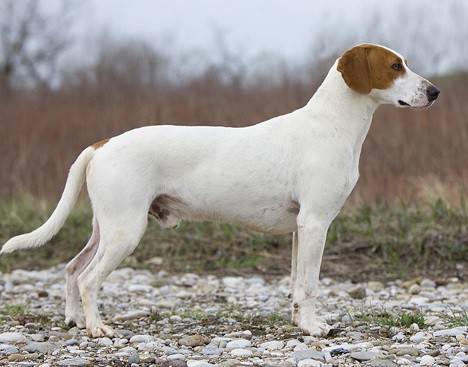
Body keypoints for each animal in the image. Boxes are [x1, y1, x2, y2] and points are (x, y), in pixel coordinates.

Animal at [0, 44, 438, 338]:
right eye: (395, 66)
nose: (434, 92)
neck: (330, 124)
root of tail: (102, 144)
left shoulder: (301, 229)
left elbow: (297, 284)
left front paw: (300, 323)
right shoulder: (316, 224)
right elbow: (310, 285)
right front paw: (314, 329)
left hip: (105, 229)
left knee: (73, 269)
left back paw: (75, 320)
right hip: (125, 231)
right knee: (89, 279)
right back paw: (98, 329)